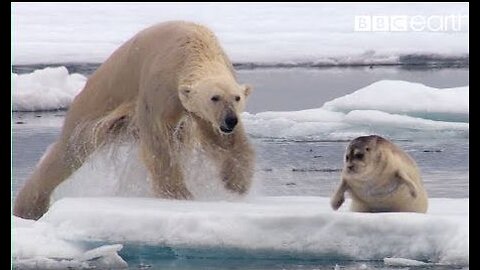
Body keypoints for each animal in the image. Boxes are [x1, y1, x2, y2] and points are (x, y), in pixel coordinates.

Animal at [13, 20, 255, 219]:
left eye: (237, 98)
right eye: (214, 97)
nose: (230, 120)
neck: (193, 47)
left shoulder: (201, 109)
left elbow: (223, 141)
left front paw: (237, 183)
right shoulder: (159, 84)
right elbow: (159, 140)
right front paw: (179, 194)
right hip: (98, 100)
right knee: (69, 150)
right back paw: (28, 207)